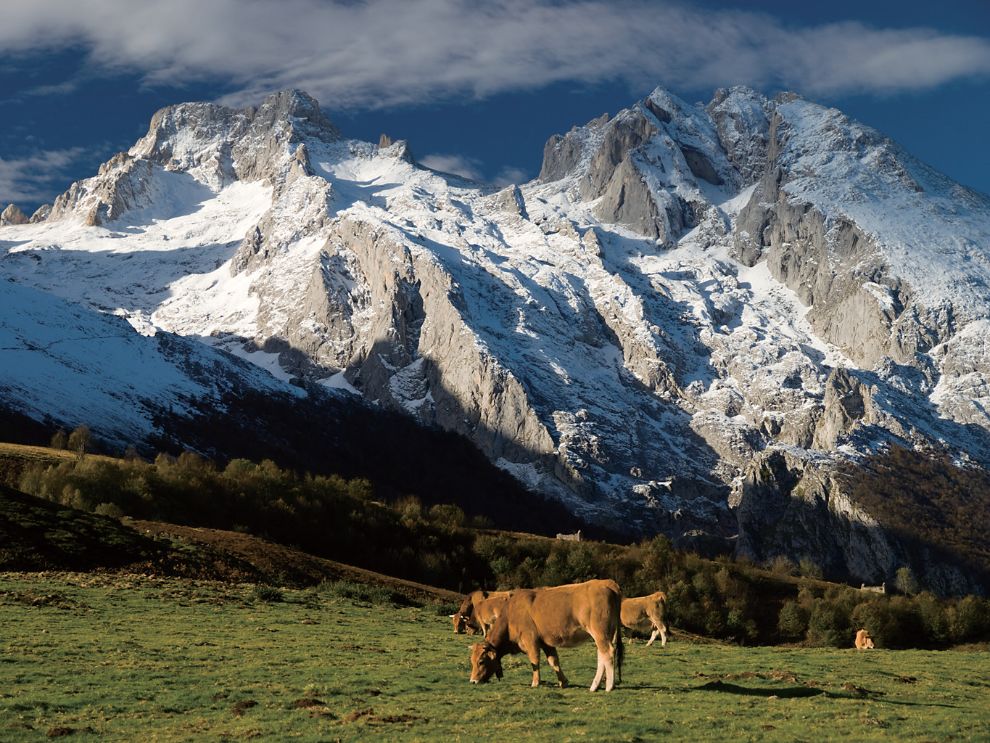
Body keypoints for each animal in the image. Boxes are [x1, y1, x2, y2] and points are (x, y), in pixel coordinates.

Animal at [470, 580, 624, 696]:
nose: (472, 681)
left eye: (481, 661)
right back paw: (597, 685)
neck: (510, 616)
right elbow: (554, 661)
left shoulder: (530, 640)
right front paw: (563, 682)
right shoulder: (546, 643)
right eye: (472, 661)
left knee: (608, 653)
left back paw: (607, 686)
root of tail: (606, 583)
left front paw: (535, 682)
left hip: (600, 633)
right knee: (602, 656)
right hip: (606, 634)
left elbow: (534, 661)